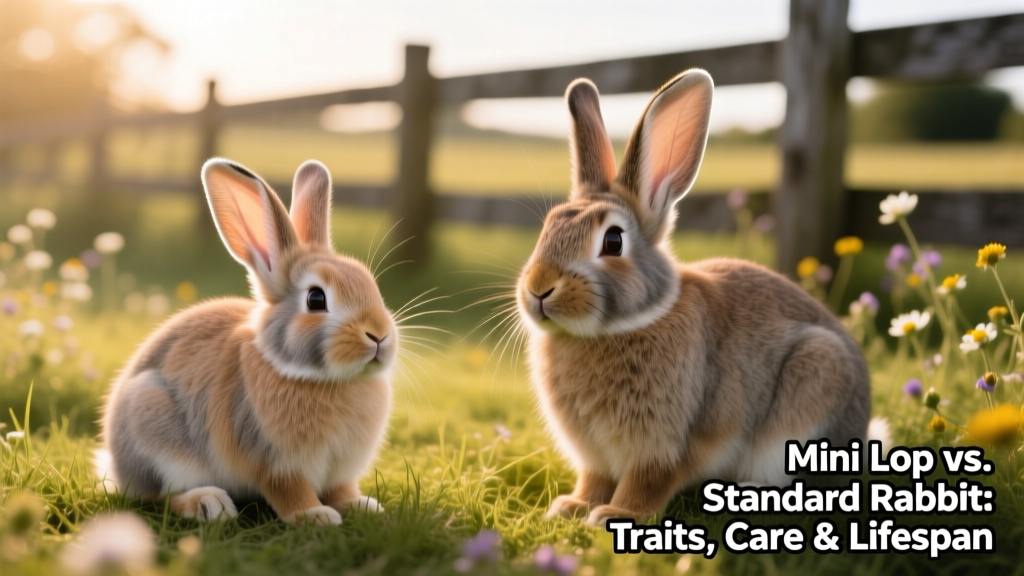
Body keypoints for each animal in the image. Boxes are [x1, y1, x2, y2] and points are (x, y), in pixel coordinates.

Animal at [100, 159, 397, 525]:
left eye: (371, 284)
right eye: (316, 299)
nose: (379, 335)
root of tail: (116, 465)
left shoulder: (339, 470)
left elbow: (342, 490)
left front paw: (364, 506)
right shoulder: (276, 464)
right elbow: (290, 493)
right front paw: (315, 516)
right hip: (153, 426)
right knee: (159, 498)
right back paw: (209, 504)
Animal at [515, 70, 872, 527]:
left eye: (613, 241)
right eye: (548, 227)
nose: (538, 287)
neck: (623, 326)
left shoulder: (666, 445)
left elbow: (647, 483)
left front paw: (615, 514)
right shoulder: (594, 455)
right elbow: (593, 479)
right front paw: (572, 506)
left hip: (816, 381)